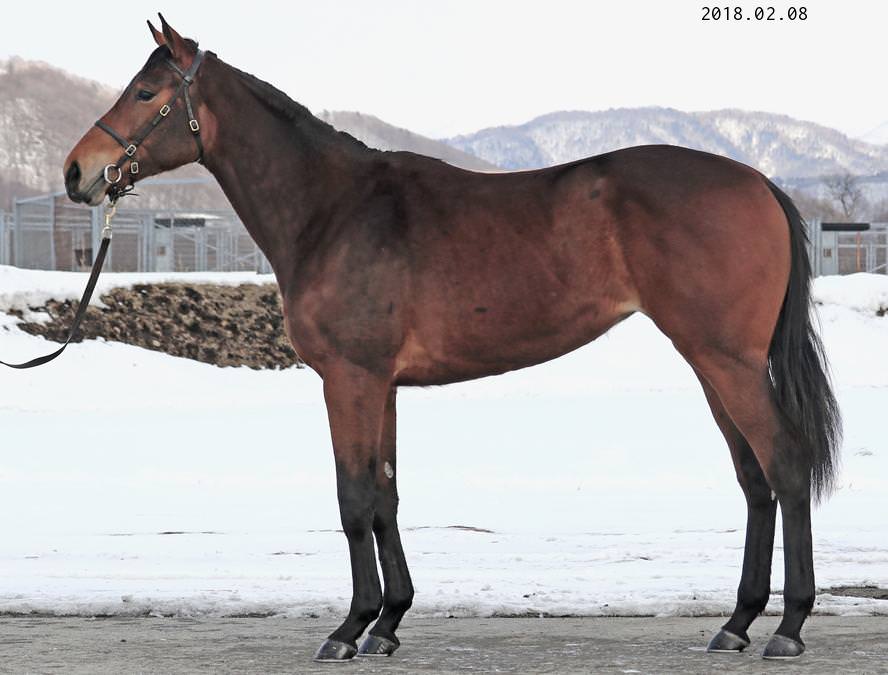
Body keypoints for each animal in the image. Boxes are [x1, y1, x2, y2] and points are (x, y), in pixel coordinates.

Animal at [64, 17, 840, 664]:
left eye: (146, 91)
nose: (78, 171)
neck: (333, 210)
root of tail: (758, 181)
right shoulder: (381, 385)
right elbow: (385, 495)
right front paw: (388, 623)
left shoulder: (349, 378)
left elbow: (353, 499)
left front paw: (349, 627)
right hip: (712, 364)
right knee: (754, 478)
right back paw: (736, 623)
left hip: (728, 363)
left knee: (785, 463)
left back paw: (789, 626)